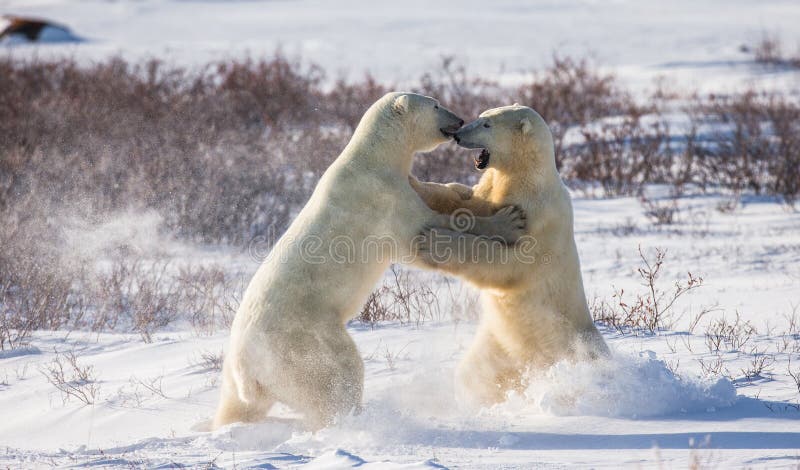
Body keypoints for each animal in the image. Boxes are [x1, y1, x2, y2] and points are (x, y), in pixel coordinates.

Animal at [211, 91, 524, 430]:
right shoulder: (383, 197)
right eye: (435, 104)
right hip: (302, 342)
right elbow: (423, 230)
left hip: (237, 374)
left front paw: (463, 191)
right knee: (337, 373)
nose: (459, 120)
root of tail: (246, 369)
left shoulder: (400, 183)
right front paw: (508, 220)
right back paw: (350, 415)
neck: (374, 158)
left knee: (237, 405)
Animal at [412, 104, 608, 406]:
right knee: (474, 375)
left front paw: (433, 241)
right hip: (498, 345)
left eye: (487, 125)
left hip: (569, 347)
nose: (458, 134)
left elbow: (508, 264)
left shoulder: (536, 217)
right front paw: (415, 183)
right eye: (481, 116)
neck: (525, 176)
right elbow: (465, 199)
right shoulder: (491, 191)